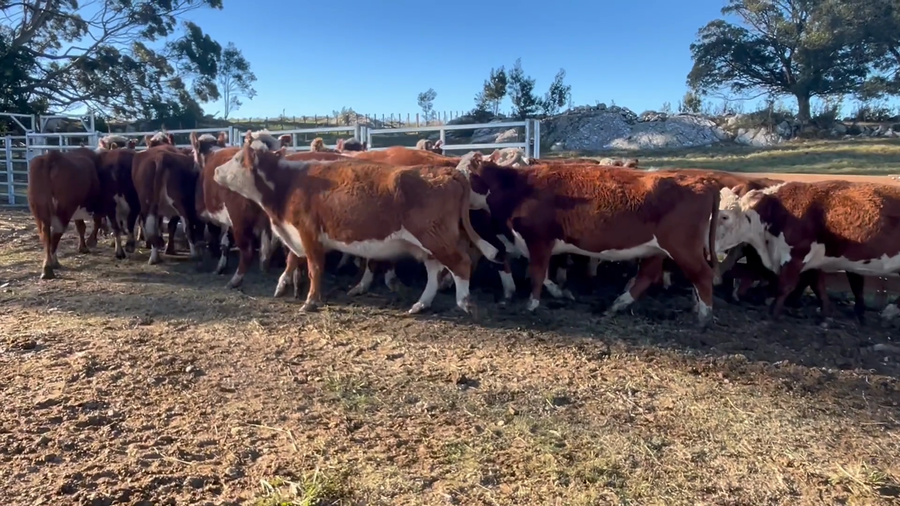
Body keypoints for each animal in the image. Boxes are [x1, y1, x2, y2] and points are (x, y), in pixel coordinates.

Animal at [27, 147, 119, 279]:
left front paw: (83, 246)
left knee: (46, 234)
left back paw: (48, 265)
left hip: (40, 210)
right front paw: (91, 241)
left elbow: (81, 227)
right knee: (56, 234)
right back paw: (51, 265)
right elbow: (95, 222)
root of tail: (51, 157)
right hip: (64, 209)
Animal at [213, 131, 500, 314]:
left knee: (460, 263)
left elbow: (314, 268)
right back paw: (420, 304)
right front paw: (283, 285)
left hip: (435, 237)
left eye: (237, 159)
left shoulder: (308, 233)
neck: (289, 183)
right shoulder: (296, 233)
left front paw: (310, 301)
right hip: (427, 243)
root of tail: (447, 171)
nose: (215, 171)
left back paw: (464, 302)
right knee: (435, 269)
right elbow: (293, 259)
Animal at [456, 152, 721, 327]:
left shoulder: (539, 239)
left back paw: (704, 316)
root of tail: (703, 182)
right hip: (655, 249)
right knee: (647, 275)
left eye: (467, 174)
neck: (519, 188)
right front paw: (560, 293)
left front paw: (532, 304)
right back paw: (617, 304)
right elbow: (542, 274)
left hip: (682, 248)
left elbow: (537, 272)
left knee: (702, 275)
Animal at [716, 180, 900, 321]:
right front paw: (826, 313)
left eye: (724, 216)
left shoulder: (796, 255)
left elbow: (785, 286)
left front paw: (773, 312)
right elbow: (817, 285)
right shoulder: (813, 260)